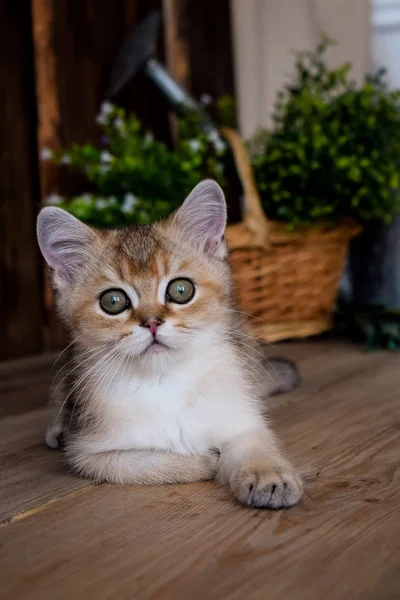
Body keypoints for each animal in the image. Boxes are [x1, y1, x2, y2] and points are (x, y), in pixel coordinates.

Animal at [37, 180, 304, 508]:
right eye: (113, 301)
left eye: (180, 290)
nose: (152, 322)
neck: (165, 380)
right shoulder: (90, 453)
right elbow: (146, 464)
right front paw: (204, 460)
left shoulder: (241, 421)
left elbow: (254, 445)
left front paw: (269, 476)